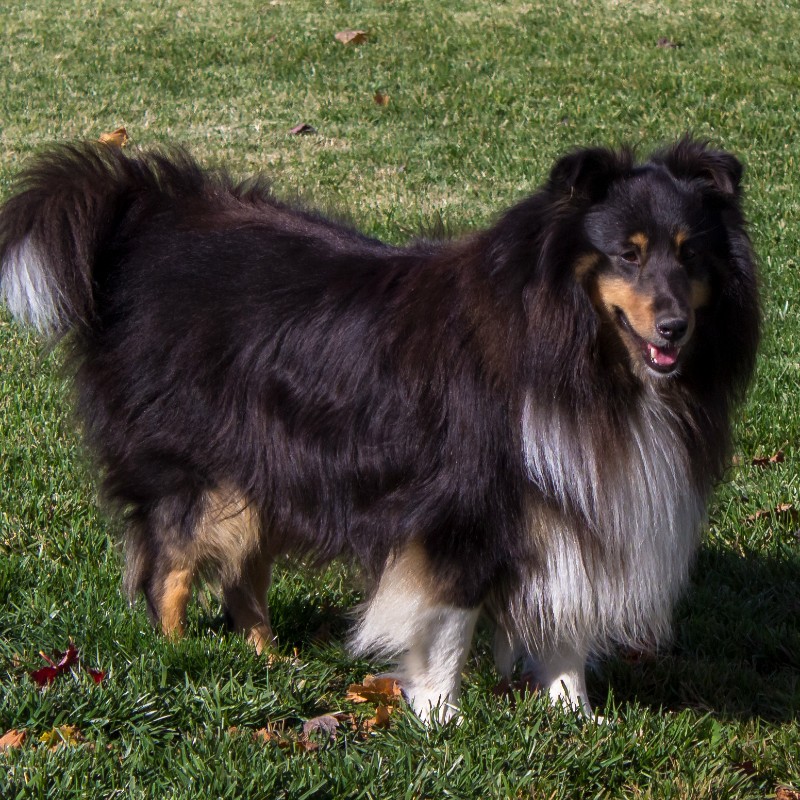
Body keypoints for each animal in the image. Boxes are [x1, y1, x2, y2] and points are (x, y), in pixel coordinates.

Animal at [0, 138, 760, 720]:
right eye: (627, 254)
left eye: (690, 255)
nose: (675, 328)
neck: (577, 348)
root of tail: (150, 212)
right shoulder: (461, 507)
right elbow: (447, 620)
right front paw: (441, 717)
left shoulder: (572, 499)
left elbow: (563, 622)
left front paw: (576, 714)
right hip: (200, 472)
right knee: (169, 569)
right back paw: (178, 655)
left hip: (263, 473)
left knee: (242, 577)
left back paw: (272, 661)